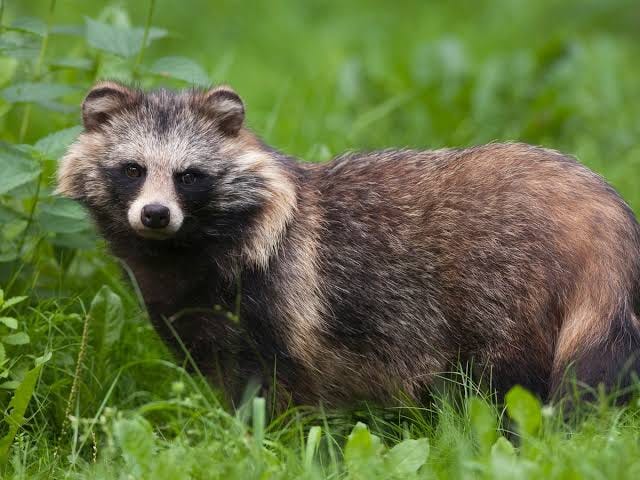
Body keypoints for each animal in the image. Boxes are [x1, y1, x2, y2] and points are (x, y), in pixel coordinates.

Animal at [58, 82, 640, 408]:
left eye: (189, 176)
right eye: (132, 169)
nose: (155, 214)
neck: (183, 253)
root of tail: (600, 207)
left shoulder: (277, 296)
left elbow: (279, 391)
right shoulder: (192, 314)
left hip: (508, 287)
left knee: (516, 384)